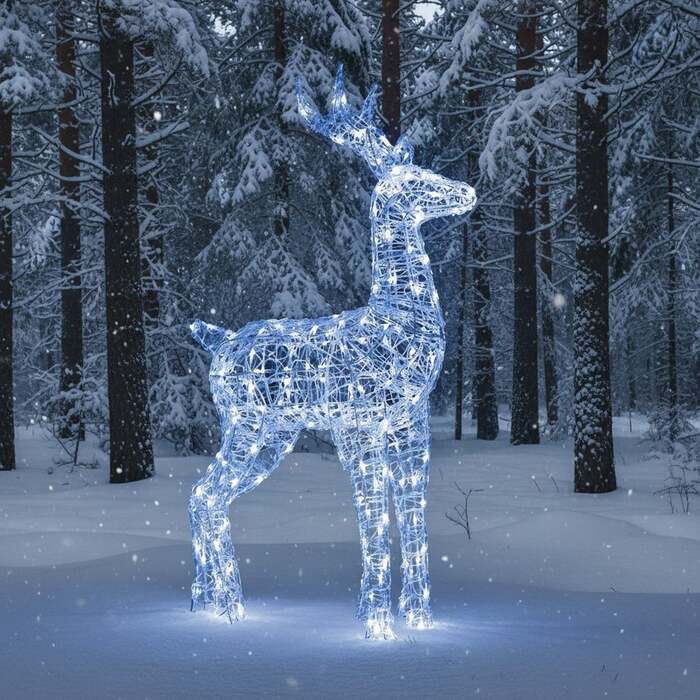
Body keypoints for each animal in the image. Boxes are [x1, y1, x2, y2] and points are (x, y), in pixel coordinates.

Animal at [188, 65, 476, 640]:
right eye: (417, 179)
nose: (467, 189)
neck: (399, 317)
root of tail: (219, 341)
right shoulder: (358, 422)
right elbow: (372, 512)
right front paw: (377, 623)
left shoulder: (409, 422)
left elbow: (410, 506)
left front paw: (418, 617)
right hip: (247, 423)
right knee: (207, 496)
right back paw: (228, 607)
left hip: (272, 435)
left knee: (202, 496)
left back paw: (207, 602)